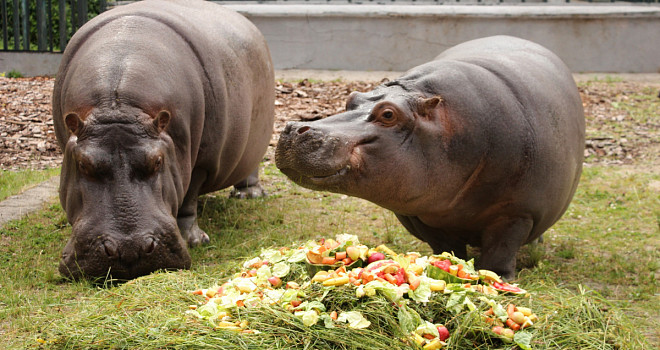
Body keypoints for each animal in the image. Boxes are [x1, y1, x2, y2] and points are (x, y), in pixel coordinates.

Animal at [52, 0, 276, 278]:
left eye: (157, 161)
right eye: (83, 164)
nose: (129, 249)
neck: (118, 105)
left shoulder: (200, 162)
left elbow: (188, 198)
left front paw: (194, 240)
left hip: (256, 140)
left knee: (250, 169)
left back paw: (249, 195)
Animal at [276, 37, 584, 280]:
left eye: (388, 114)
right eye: (352, 99)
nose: (293, 128)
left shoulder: (516, 213)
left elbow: (501, 250)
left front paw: (498, 279)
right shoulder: (418, 213)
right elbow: (445, 246)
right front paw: (445, 265)